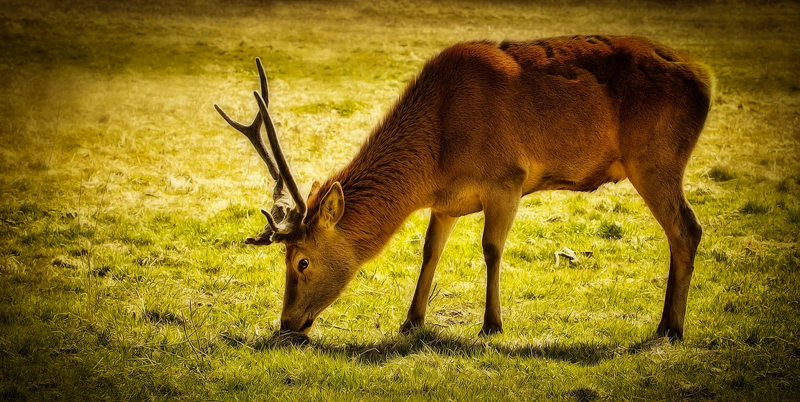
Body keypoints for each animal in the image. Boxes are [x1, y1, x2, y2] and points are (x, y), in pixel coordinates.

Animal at [214, 36, 712, 340]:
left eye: (301, 261)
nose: (286, 322)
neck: (435, 154)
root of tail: (706, 79)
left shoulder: (508, 178)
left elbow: (492, 249)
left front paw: (492, 324)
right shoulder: (447, 202)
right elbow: (429, 251)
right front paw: (411, 320)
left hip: (656, 159)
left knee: (687, 229)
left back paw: (670, 327)